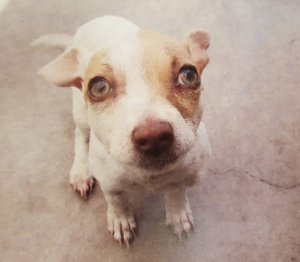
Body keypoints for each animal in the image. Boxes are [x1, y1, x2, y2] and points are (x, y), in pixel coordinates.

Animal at [38, 16, 211, 246]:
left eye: (189, 75)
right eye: (99, 87)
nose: (153, 136)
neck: (151, 177)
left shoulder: (182, 175)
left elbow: (176, 189)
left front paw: (178, 213)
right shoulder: (109, 183)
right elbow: (116, 201)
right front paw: (120, 220)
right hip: (81, 114)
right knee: (80, 135)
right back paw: (81, 170)